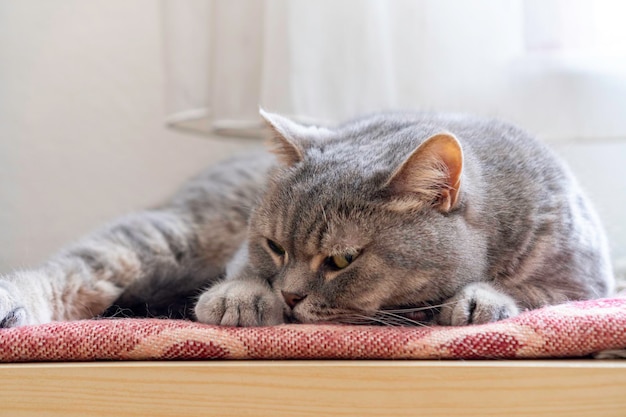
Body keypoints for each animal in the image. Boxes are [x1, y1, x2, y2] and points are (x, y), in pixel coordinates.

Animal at [0, 110, 616, 328]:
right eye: (275, 246)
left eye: (342, 259)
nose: (291, 296)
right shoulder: (242, 252)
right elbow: (239, 273)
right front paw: (241, 295)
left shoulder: (581, 281)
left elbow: (531, 292)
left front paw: (482, 298)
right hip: (168, 234)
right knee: (70, 270)